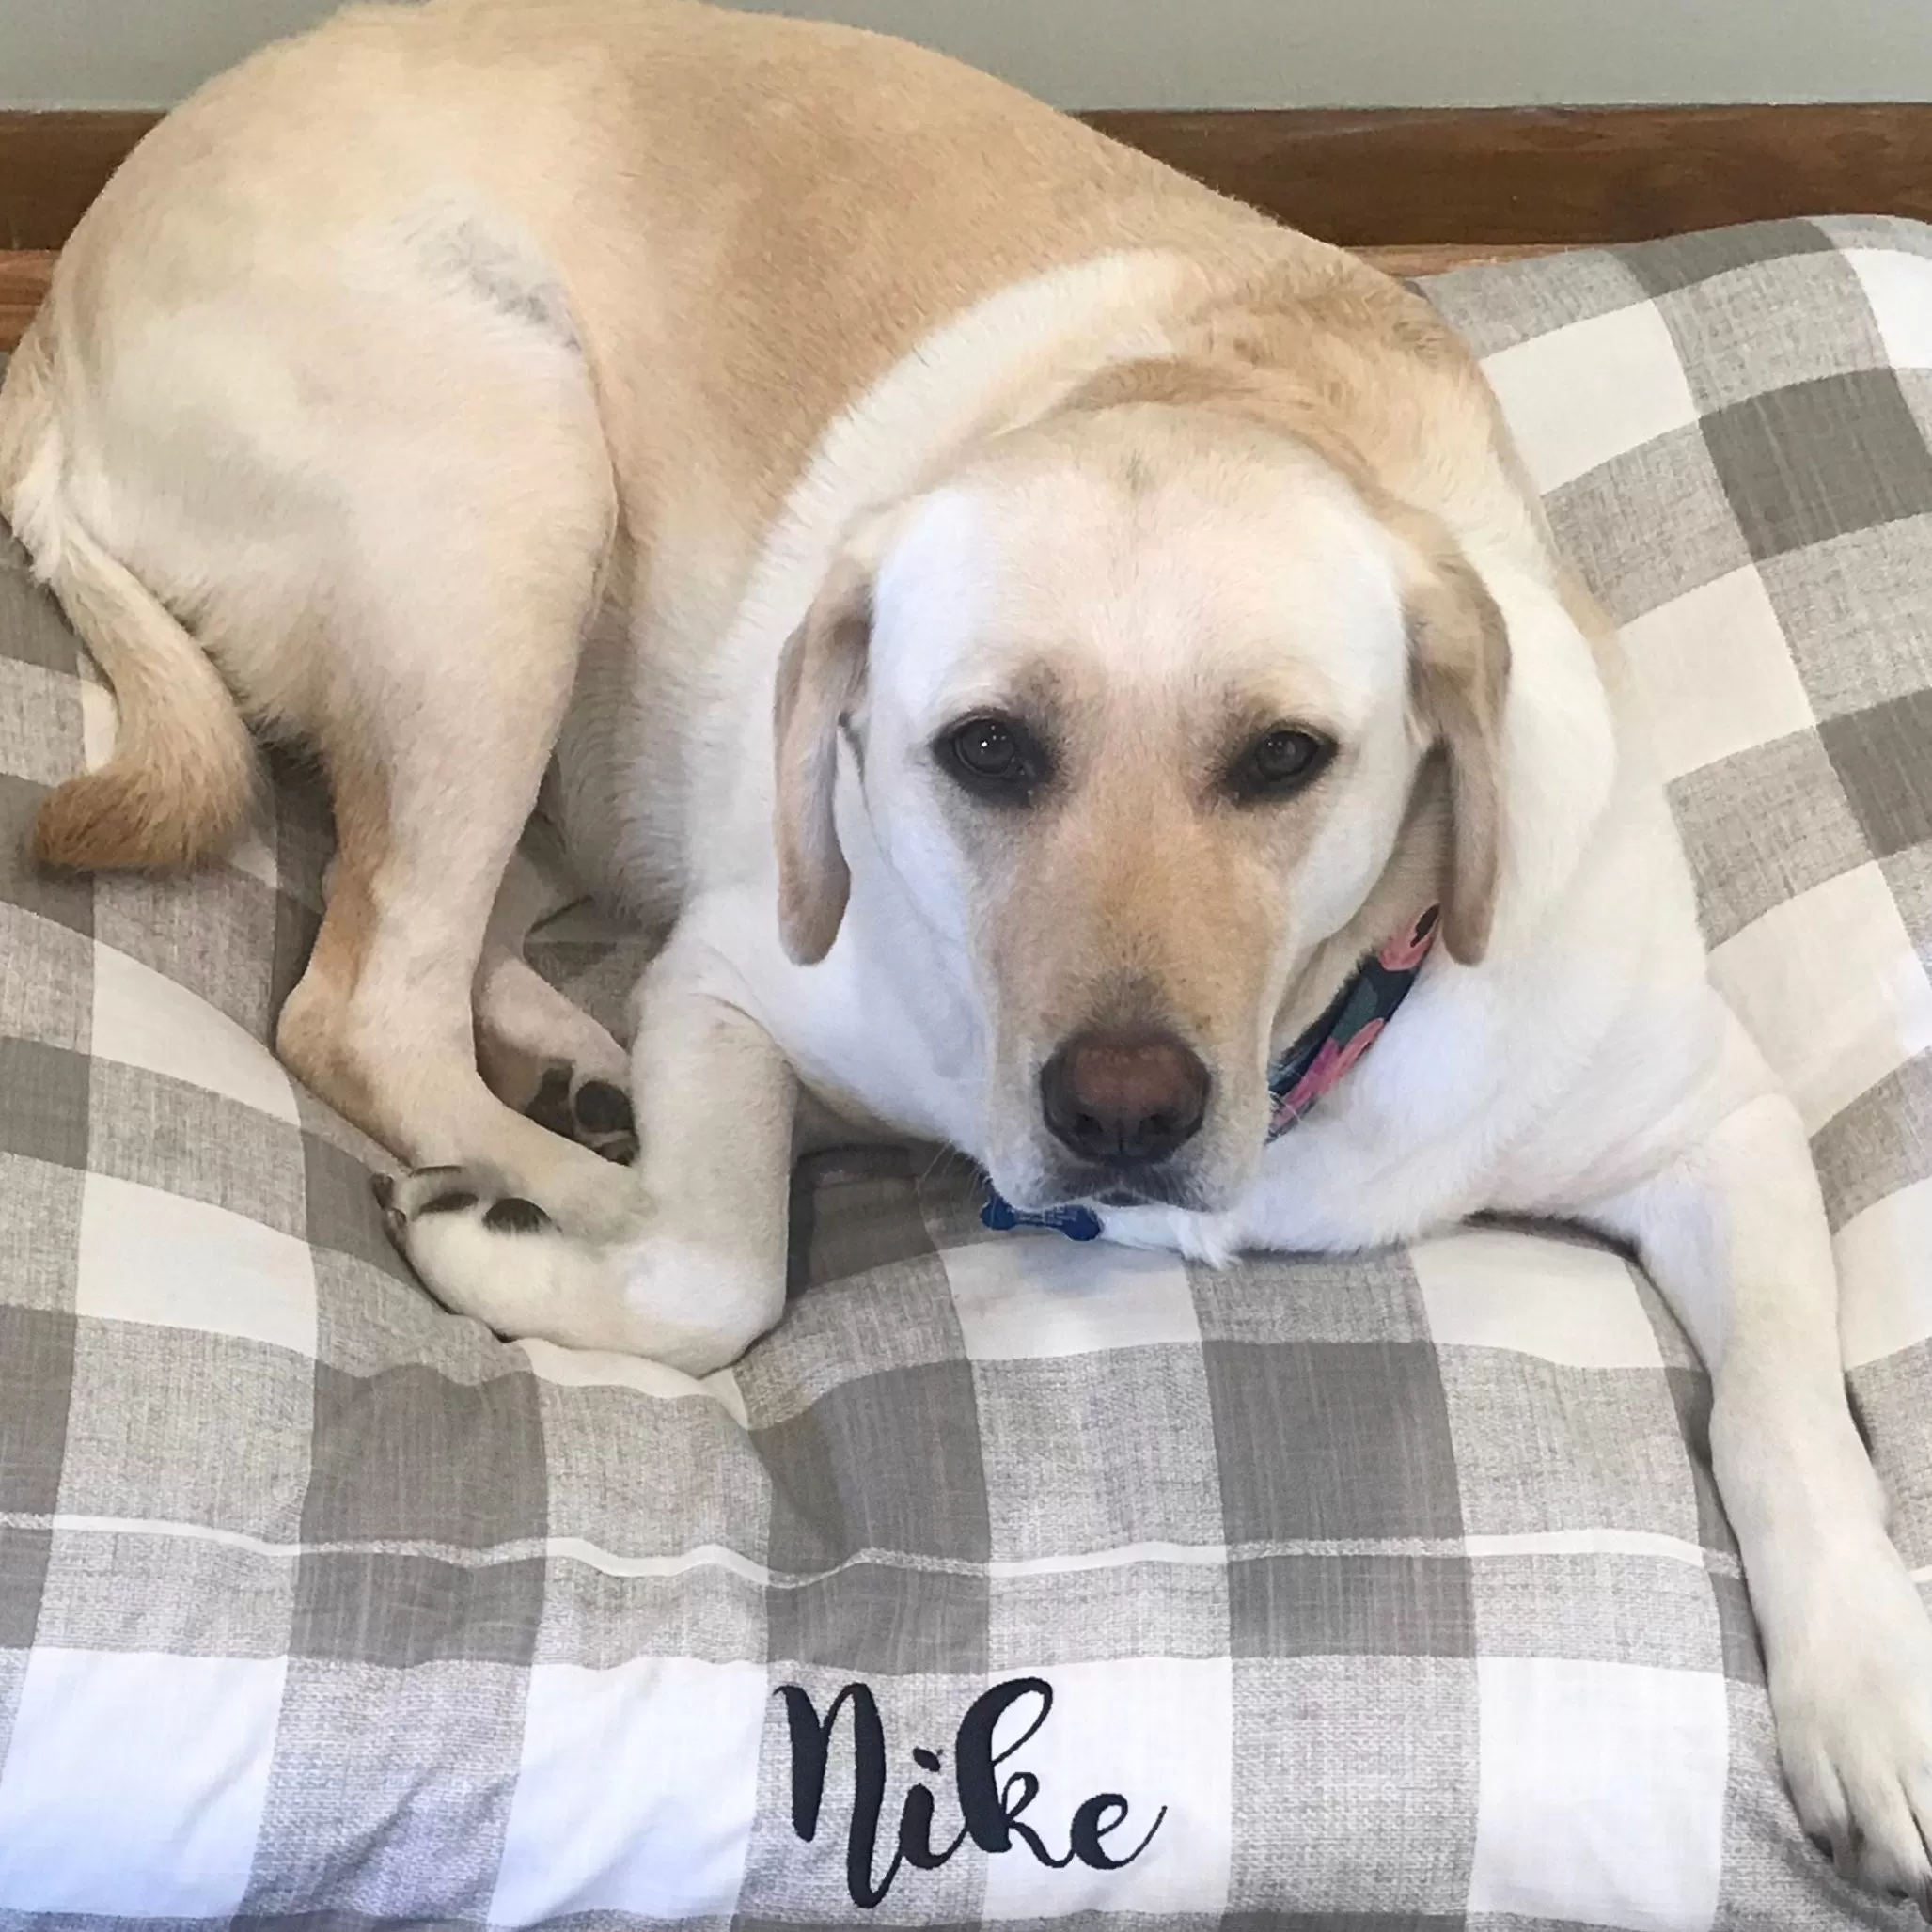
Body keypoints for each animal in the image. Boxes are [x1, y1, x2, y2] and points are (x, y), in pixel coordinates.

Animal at [4, 0, 1932, 1901]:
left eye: (1284, 759)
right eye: (987, 749)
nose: (1124, 1107)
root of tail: (72, 286)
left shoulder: (1716, 1125)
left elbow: (1784, 1415)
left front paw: (1871, 1698)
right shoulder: (735, 979)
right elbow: (718, 1273)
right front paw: (529, 1239)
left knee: (431, 922)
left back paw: (562, 1060)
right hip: (503, 484)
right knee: (364, 992)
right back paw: (547, 1159)